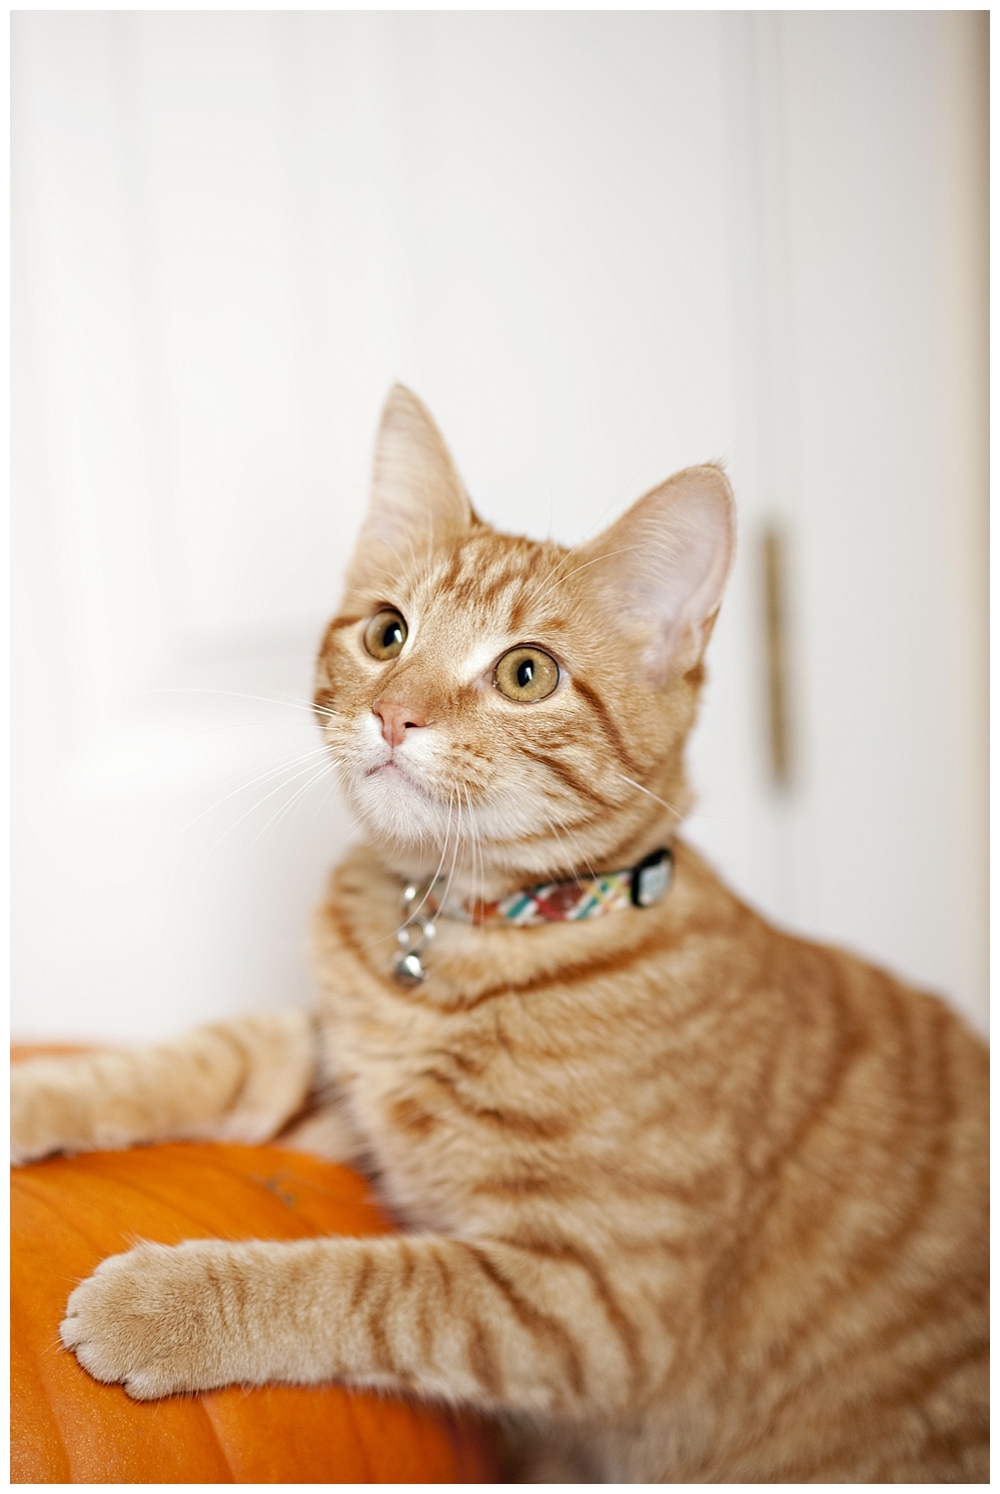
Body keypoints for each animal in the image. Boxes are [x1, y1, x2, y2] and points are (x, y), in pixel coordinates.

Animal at [11, 385, 986, 1482]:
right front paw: (31, 1095)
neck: (461, 932)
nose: (394, 714)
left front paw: (163, 1304)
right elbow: (204, 1055)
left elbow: (364, 1285)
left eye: (526, 674)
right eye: (387, 633)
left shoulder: (589, 1304)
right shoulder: (340, 1086)